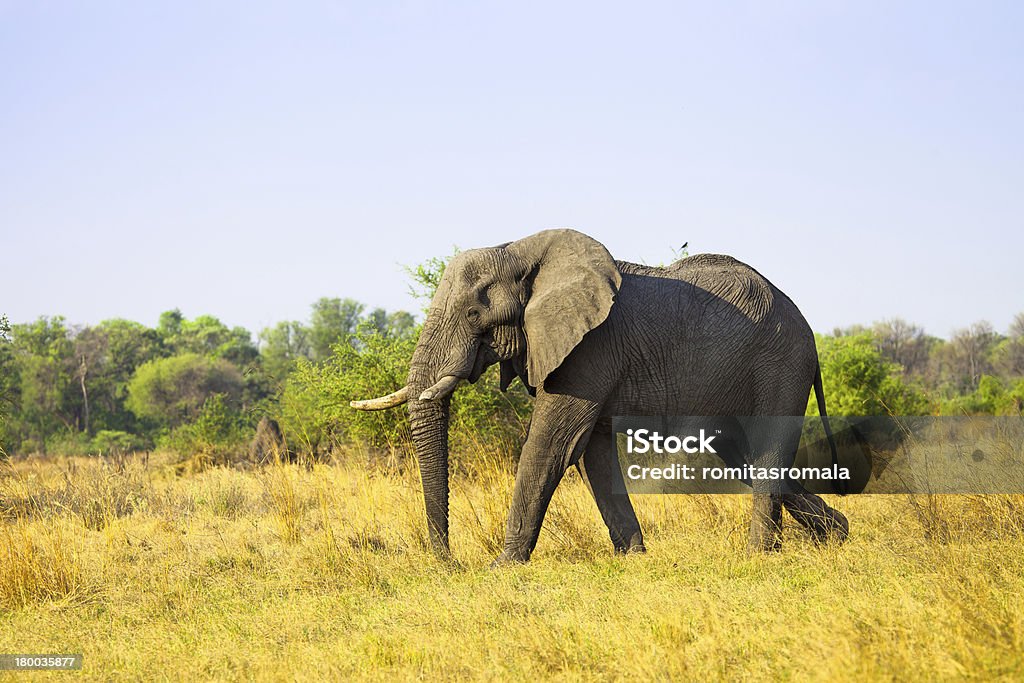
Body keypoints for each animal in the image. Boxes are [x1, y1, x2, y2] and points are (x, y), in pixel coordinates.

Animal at [352, 229, 847, 565]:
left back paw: (760, 555)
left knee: (765, 451)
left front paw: (502, 566)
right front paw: (634, 557)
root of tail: (807, 326)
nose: (449, 562)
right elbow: (590, 453)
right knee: (742, 455)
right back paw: (835, 535)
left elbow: (551, 444)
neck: (520, 249)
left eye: (474, 314)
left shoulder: (590, 348)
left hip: (781, 363)